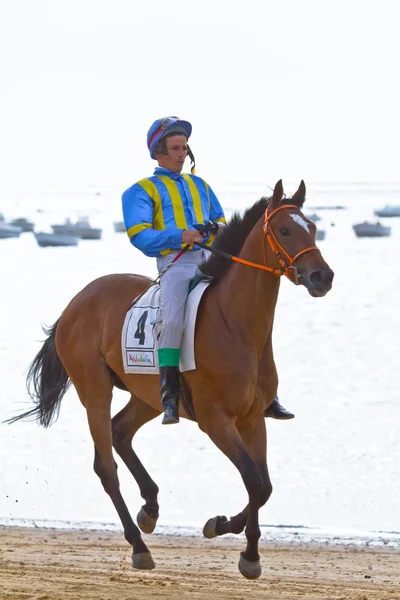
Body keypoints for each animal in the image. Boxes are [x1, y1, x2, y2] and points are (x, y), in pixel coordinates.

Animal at [7, 179, 334, 580]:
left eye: (313, 228)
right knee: (106, 466)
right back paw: (139, 545)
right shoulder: (216, 421)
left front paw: (225, 529)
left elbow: (265, 486)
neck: (236, 325)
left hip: (148, 396)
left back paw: (149, 508)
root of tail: (77, 301)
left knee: (120, 431)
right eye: (285, 230)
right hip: (94, 390)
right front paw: (246, 552)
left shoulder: (253, 419)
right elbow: (253, 479)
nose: (322, 276)